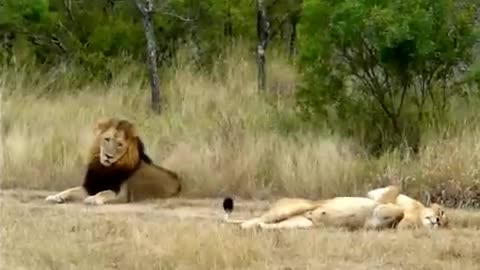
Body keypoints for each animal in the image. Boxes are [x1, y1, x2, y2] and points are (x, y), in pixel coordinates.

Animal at [45, 117, 182, 205]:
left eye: (120, 145)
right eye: (107, 139)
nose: (108, 156)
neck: (105, 168)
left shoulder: (122, 194)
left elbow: (105, 192)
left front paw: (93, 199)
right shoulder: (90, 187)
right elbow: (70, 190)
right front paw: (55, 196)